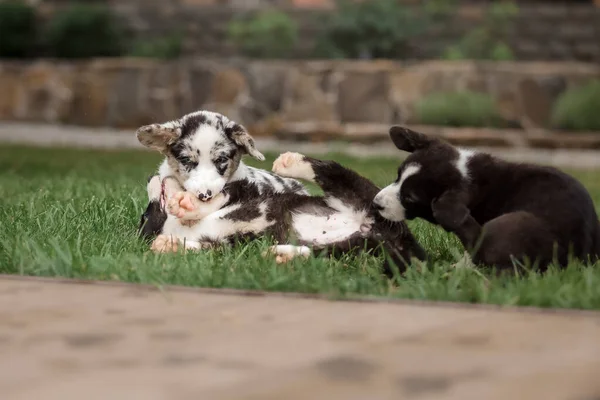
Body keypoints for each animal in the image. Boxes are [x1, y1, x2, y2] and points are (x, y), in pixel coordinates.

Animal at [372, 126, 596, 274]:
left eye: (409, 197)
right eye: (398, 175)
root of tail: (582, 258)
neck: (465, 174)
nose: (375, 203)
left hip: (515, 222)